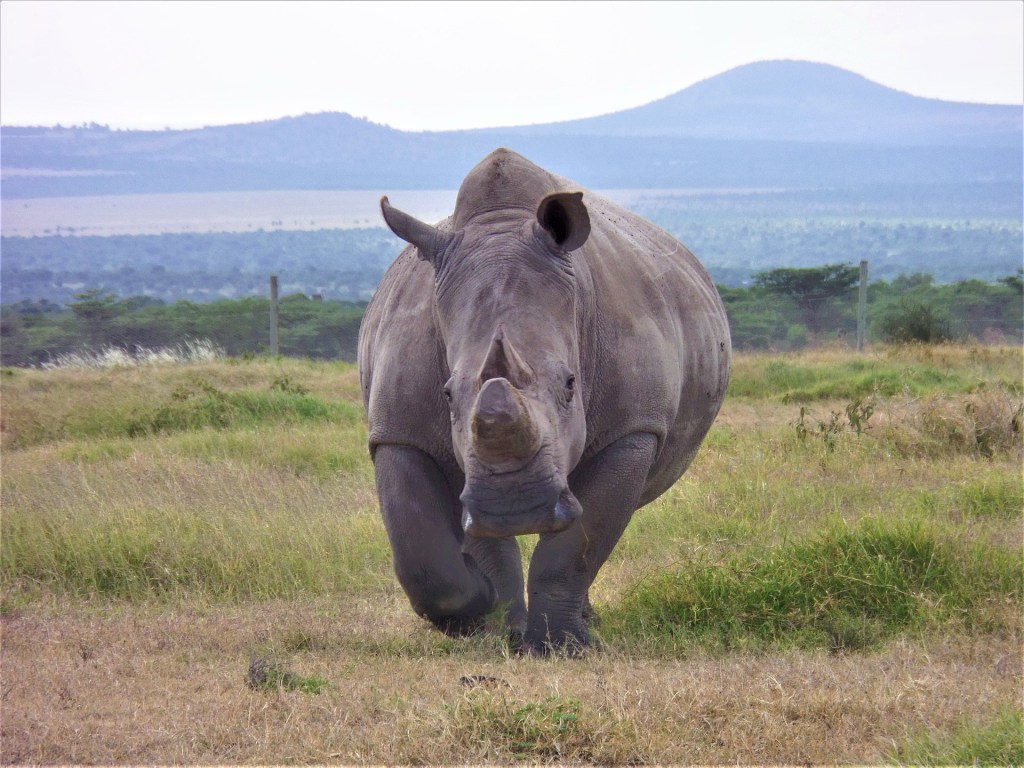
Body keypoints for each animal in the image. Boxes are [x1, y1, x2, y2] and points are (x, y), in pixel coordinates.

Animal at [358, 148, 730, 652]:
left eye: (571, 384)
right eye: (447, 394)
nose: (515, 507)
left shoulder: (633, 429)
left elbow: (577, 544)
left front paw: (563, 647)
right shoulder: (399, 430)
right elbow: (429, 559)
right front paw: (489, 617)